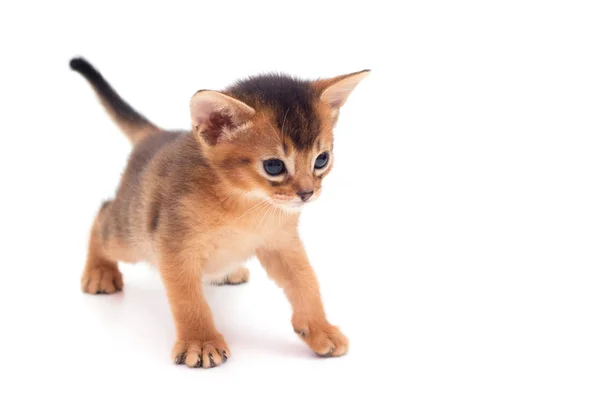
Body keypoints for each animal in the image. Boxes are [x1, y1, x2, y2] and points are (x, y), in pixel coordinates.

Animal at [71, 58, 370, 368]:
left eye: (321, 160)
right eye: (274, 166)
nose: (307, 193)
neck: (244, 203)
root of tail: (158, 135)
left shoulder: (282, 243)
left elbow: (306, 282)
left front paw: (320, 329)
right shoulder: (174, 247)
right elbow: (188, 300)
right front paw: (201, 343)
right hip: (132, 236)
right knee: (104, 214)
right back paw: (99, 272)